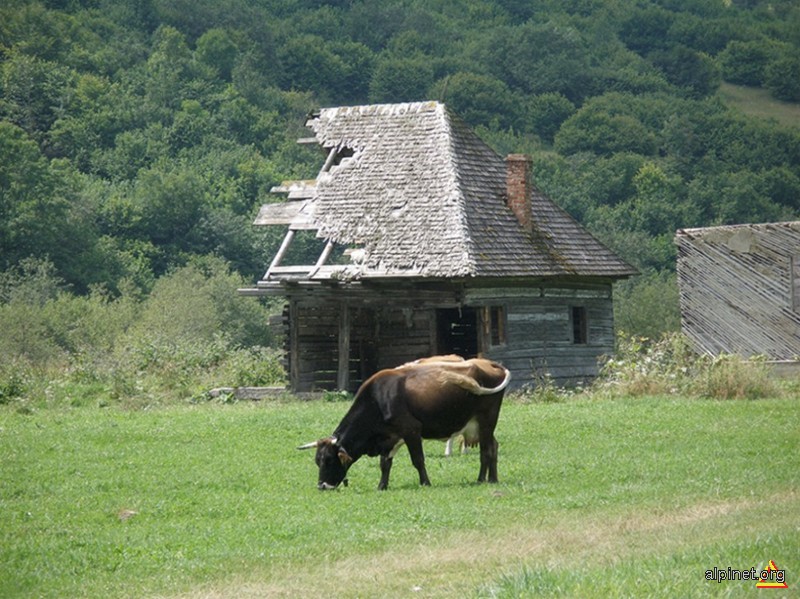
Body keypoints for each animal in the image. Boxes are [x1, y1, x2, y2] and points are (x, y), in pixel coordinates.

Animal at [296, 354, 510, 490]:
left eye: (329, 460)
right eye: (317, 460)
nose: (322, 486)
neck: (378, 399)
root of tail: (490, 364)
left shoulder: (411, 430)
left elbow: (418, 459)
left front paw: (425, 483)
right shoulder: (390, 438)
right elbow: (385, 464)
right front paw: (382, 486)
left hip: (486, 421)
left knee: (486, 450)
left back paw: (483, 479)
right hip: (479, 425)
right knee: (494, 446)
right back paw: (493, 478)